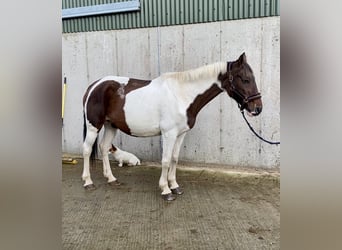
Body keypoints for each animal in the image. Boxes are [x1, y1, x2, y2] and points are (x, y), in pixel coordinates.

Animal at [82, 52, 262, 201]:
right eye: (245, 79)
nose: (258, 108)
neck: (181, 95)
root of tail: (94, 86)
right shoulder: (169, 134)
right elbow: (166, 160)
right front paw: (166, 190)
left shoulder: (180, 134)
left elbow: (175, 159)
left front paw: (175, 186)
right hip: (94, 126)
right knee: (87, 150)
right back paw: (88, 182)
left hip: (110, 125)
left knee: (104, 147)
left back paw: (111, 179)